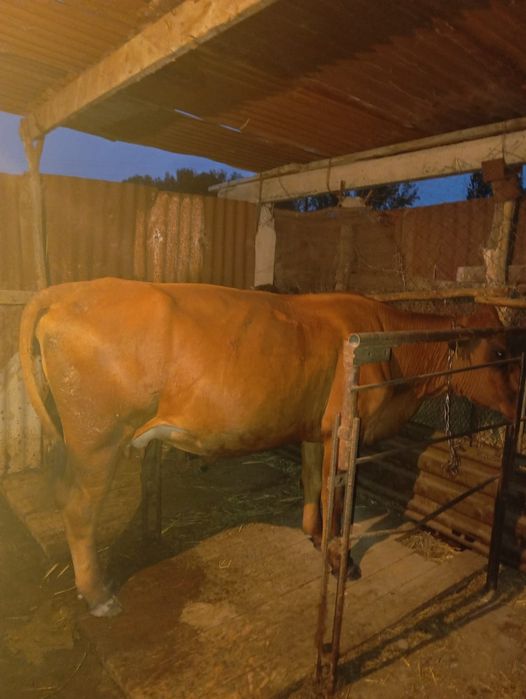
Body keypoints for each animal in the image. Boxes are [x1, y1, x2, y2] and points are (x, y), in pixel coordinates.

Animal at [19, 277, 519, 617]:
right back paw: (98, 595)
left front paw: (314, 537)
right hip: (97, 441)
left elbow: (312, 484)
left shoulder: (316, 430)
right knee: (79, 508)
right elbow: (339, 499)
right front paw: (342, 560)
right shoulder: (345, 432)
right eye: (498, 354)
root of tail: (69, 291)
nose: (518, 406)